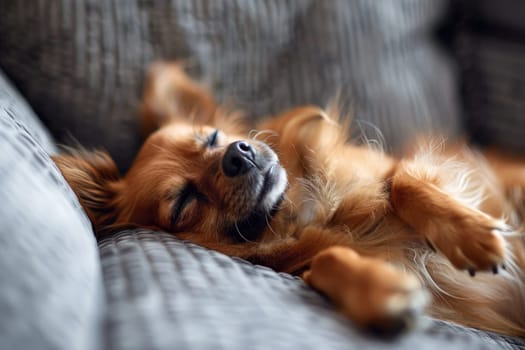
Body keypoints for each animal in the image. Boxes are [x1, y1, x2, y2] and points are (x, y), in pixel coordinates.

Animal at [53, 62, 524, 336]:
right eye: (184, 201)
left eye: (213, 137)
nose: (238, 154)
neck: (302, 213)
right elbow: (325, 261)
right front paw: (382, 292)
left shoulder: (401, 168)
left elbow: (405, 183)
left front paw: (469, 235)